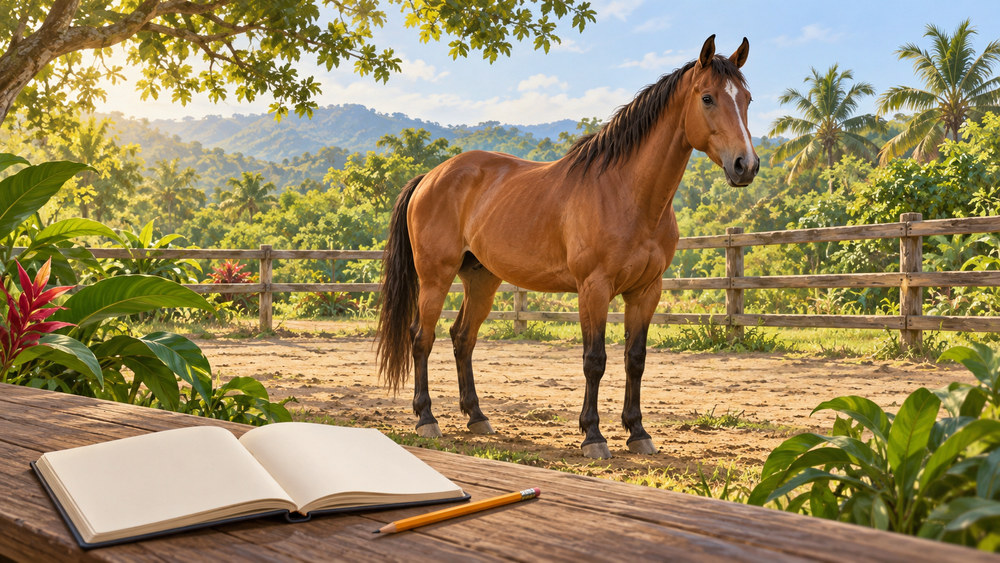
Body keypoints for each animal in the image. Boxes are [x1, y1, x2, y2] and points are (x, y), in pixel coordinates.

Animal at [375, 35, 759, 459]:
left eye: (747, 99)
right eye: (707, 98)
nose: (745, 165)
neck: (626, 192)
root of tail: (431, 176)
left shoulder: (646, 292)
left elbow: (635, 359)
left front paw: (638, 432)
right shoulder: (594, 289)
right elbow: (595, 360)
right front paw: (593, 435)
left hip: (482, 281)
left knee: (463, 339)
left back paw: (477, 417)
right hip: (435, 278)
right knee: (421, 339)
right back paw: (426, 419)